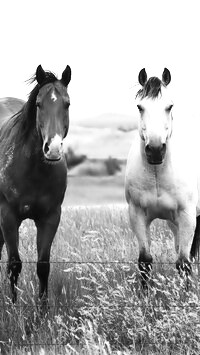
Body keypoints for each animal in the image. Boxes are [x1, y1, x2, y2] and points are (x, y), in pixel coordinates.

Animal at [0, 64, 71, 304]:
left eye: (67, 103)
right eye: (39, 104)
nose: (53, 149)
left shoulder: (50, 217)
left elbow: (43, 266)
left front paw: (43, 307)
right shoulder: (8, 216)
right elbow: (14, 264)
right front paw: (13, 305)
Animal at [126, 69, 200, 286]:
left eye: (170, 106)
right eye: (140, 107)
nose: (156, 150)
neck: (157, 175)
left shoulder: (187, 215)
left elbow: (183, 263)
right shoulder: (137, 214)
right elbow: (145, 261)